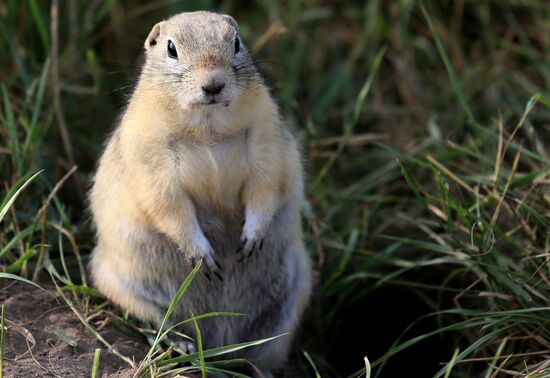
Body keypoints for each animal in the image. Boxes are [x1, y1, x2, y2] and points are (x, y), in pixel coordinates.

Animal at [91, 10, 314, 376]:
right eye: (170, 48)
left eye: (236, 42)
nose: (213, 84)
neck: (207, 125)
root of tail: (222, 343)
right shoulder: (151, 158)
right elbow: (169, 205)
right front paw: (202, 255)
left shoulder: (266, 138)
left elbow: (266, 185)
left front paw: (251, 237)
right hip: (126, 288)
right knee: (160, 322)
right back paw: (182, 345)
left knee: (262, 353)